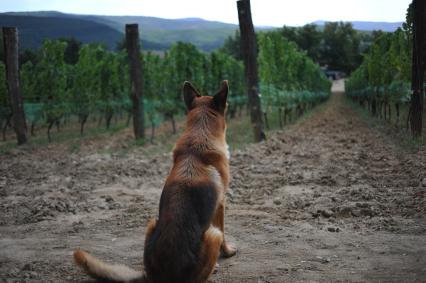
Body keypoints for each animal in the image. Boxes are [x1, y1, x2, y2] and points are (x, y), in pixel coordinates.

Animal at [75, 80, 238, 283]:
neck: (200, 135)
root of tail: (161, 276)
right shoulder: (220, 205)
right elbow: (224, 232)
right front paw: (228, 252)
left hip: (151, 224)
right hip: (211, 236)